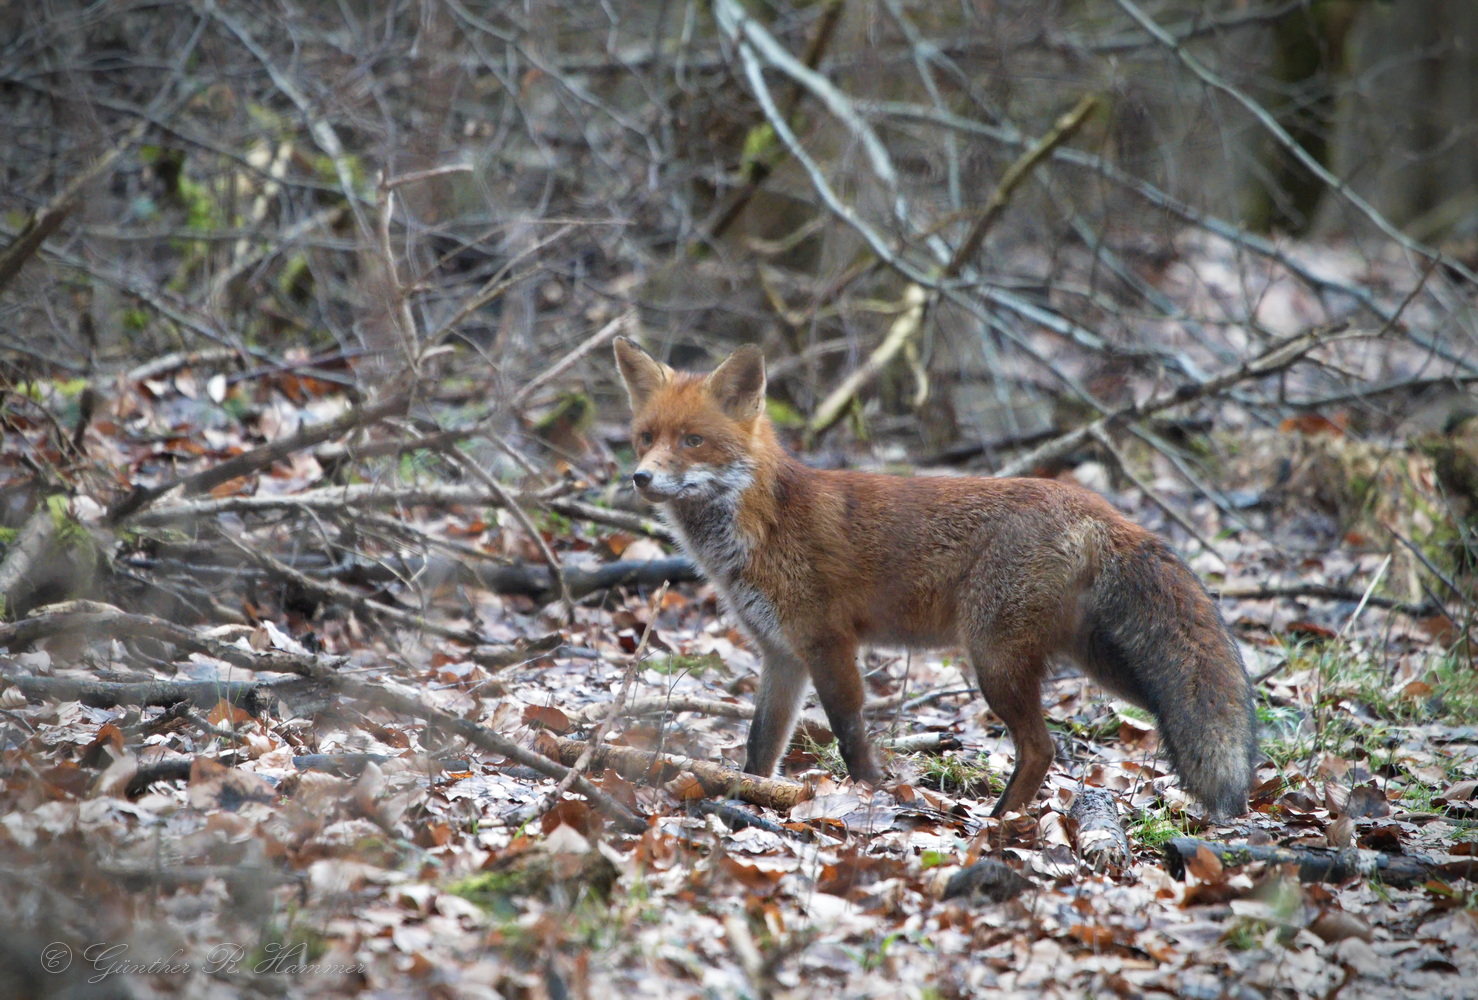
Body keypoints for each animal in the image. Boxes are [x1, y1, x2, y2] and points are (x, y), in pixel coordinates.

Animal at [611, 339, 1259, 815]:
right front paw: (752, 794)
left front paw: (870, 793)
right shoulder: (781, 655)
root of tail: (1100, 507)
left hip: (995, 661)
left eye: (693, 440)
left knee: (1042, 748)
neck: (762, 523)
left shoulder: (827, 642)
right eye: (646, 438)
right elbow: (760, 744)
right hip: (1101, 662)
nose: (641, 478)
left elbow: (849, 730)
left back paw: (998, 823)